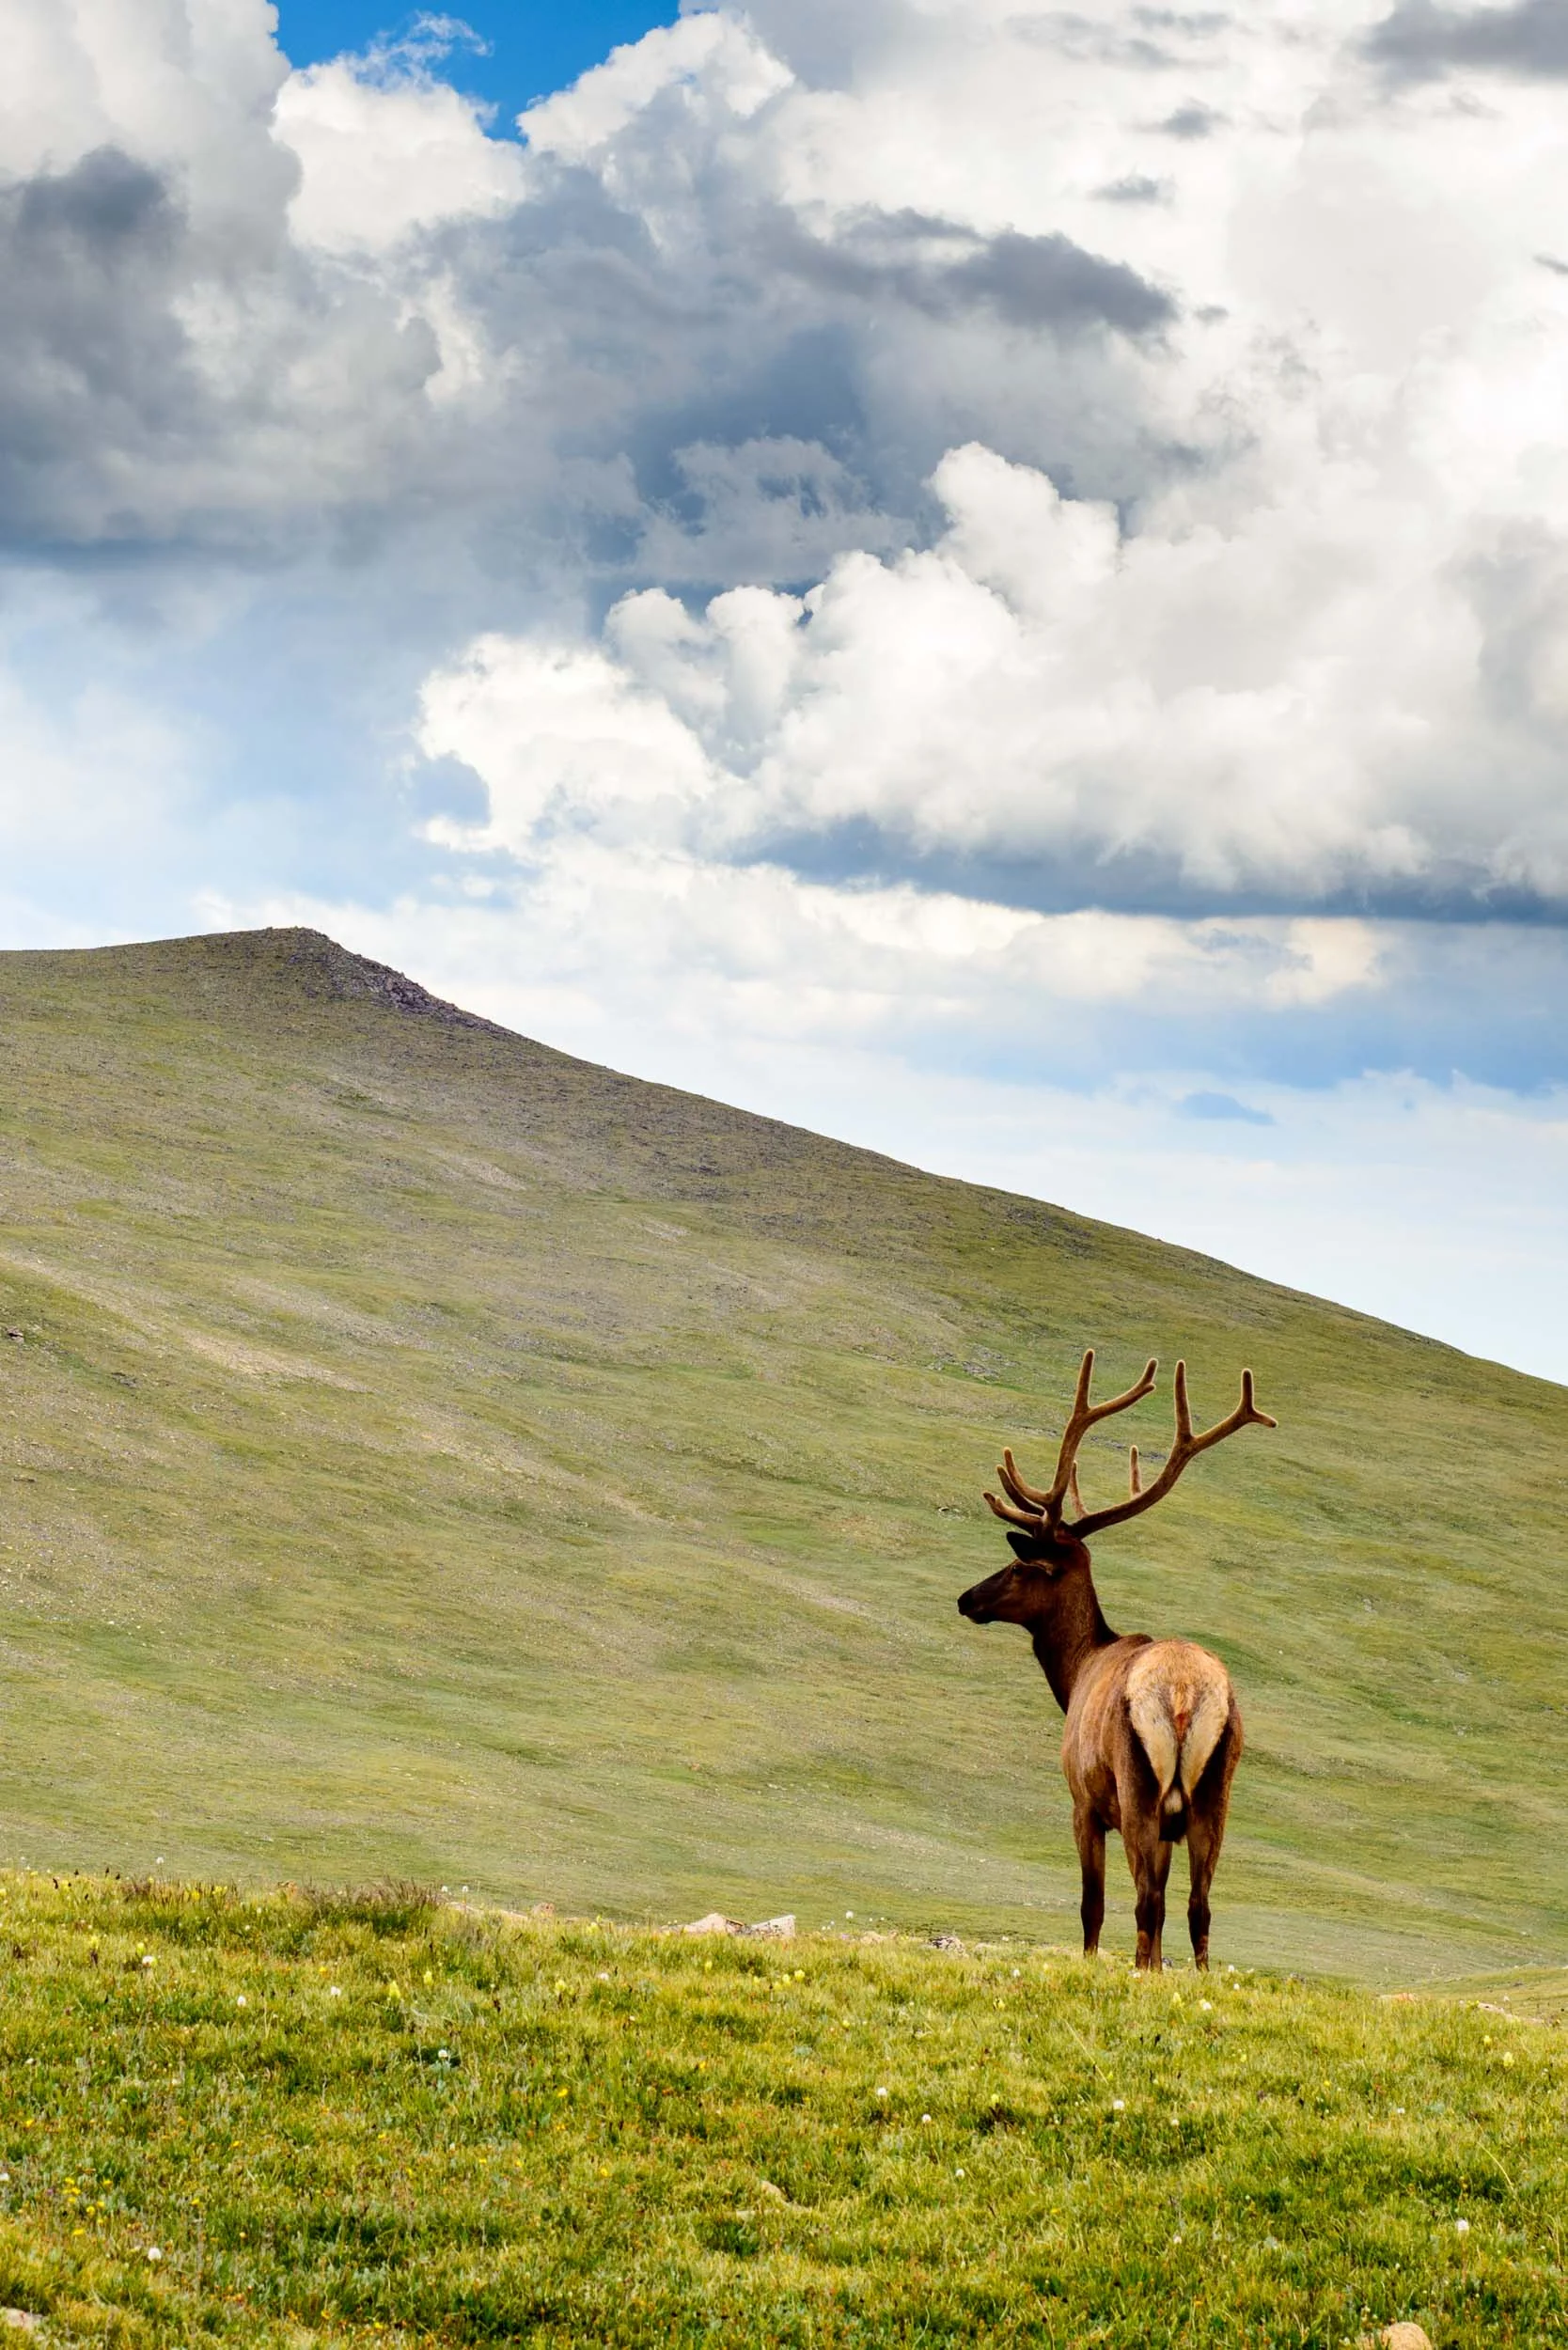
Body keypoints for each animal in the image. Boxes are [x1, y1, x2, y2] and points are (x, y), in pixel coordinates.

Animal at [957, 1349, 1275, 1972]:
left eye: (1020, 1568)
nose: (966, 1598)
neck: (1079, 1669)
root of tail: (1183, 1693)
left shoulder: (1083, 1800)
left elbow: (1092, 1903)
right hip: (1215, 1791)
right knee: (1198, 1905)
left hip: (1136, 1788)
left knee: (1146, 1902)